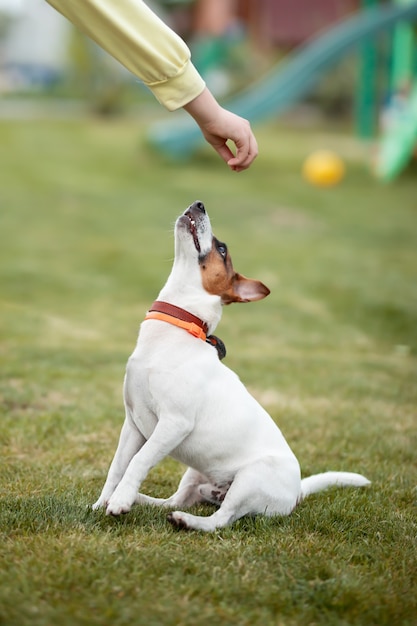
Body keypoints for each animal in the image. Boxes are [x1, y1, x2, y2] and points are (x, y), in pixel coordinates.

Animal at [92, 201, 368, 532]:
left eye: (222, 249)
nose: (198, 204)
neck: (179, 329)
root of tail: (297, 491)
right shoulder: (133, 425)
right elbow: (117, 467)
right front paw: (103, 502)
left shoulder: (173, 424)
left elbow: (139, 461)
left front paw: (120, 502)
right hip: (196, 473)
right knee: (176, 500)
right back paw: (145, 500)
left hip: (248, 481)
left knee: (220, 520)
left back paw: (185, 520)